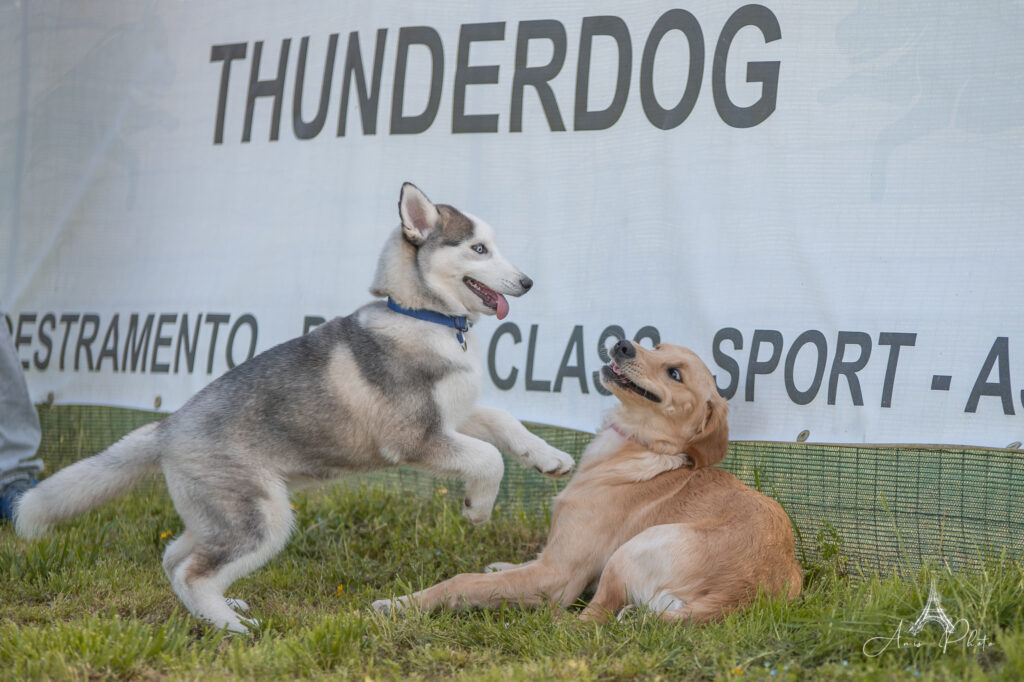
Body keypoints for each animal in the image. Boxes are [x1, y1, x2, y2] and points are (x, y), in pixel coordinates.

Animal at [14, 182, 577, 630]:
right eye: (479, 248)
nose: (527, 282)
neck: (425, 317)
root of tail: (167, 426)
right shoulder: (415, 437)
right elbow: (488, 457)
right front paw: (477, 508)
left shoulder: (454, 415)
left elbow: (504, 422)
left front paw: (550, 459)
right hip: (262, 517)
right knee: (193, 571)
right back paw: (234, 629)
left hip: (219, 514)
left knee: (175, 557)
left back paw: (222, 612)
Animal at [372, 339, 802, 622]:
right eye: (657, 344)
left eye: (675, 373)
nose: (623, 344)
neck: (642, 447)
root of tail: (743, 589)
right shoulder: (553, 559)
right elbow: (516, 566)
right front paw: (502, 567)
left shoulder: (558, 577)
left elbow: (462, 582)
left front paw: (401, 604)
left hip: (631, 550)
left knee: (586, 622)